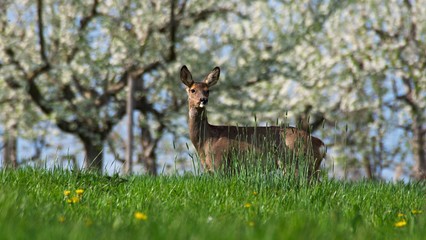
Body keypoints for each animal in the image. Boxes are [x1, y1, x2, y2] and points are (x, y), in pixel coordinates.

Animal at [181, 65, 326, 178]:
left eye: (207, 90)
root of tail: (320, 144)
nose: (203, 100)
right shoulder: (209, 168)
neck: (207, 139)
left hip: (299, 162)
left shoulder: (220, 163)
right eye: (193, 90)